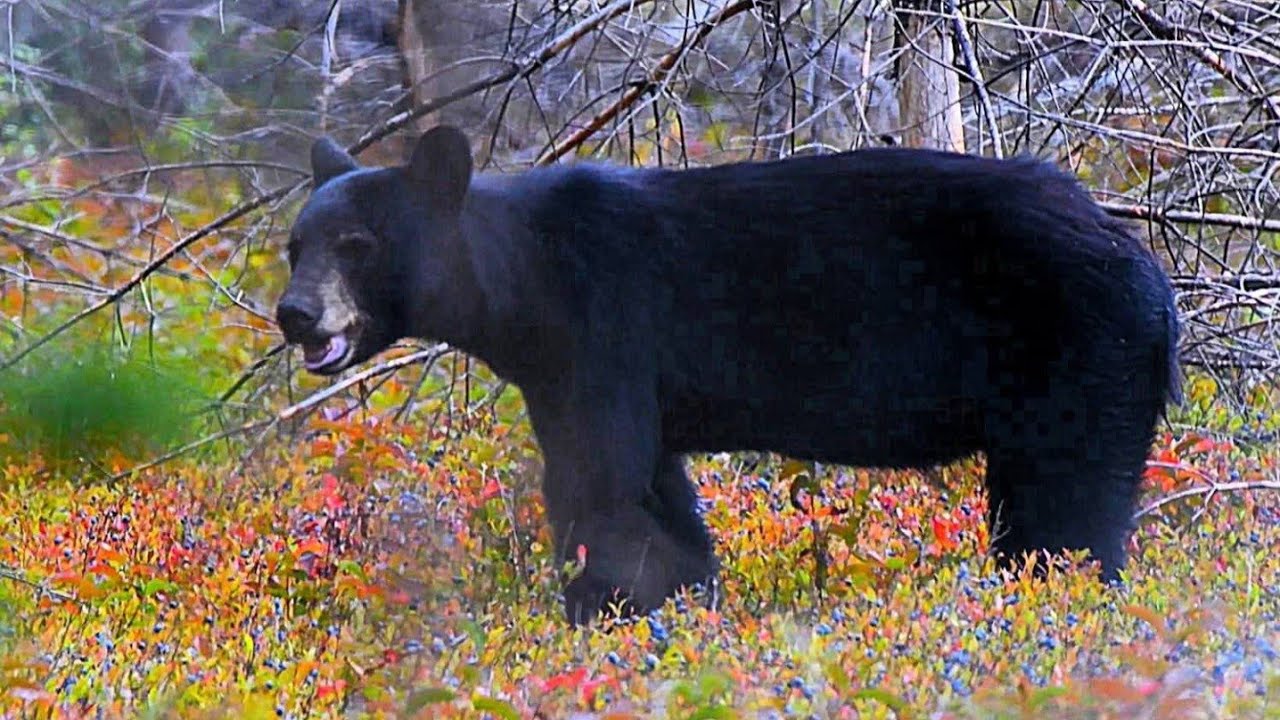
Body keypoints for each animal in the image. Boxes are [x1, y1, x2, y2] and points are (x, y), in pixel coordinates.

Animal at [275, 125, 1183, 625]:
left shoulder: (602, 330)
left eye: (357, 245)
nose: (295, 314)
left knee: (1066, 511)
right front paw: (680, 606)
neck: (523, 284)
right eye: (295, 244)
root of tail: (1152, 275)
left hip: (1079, 351)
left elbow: (599, 489)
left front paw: (603, 616)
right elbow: (656, 501)